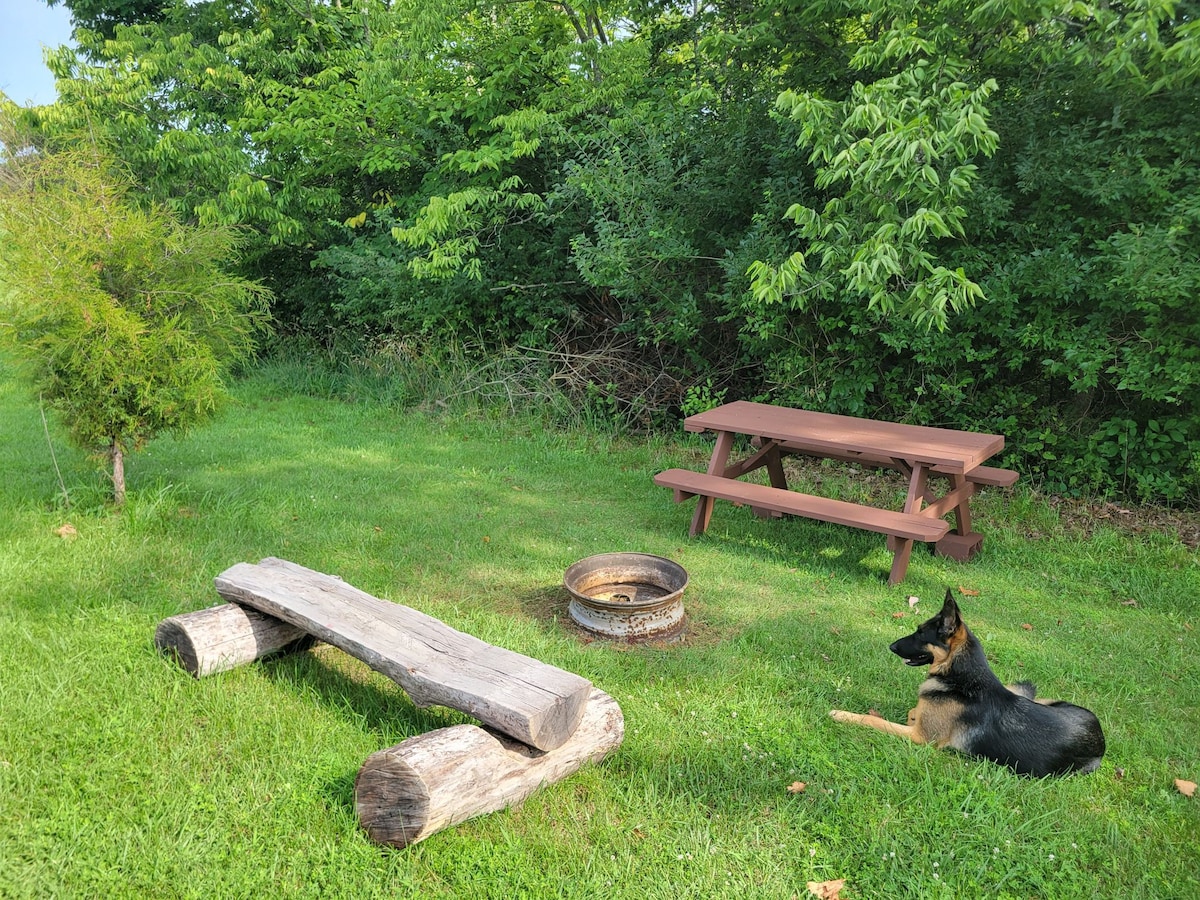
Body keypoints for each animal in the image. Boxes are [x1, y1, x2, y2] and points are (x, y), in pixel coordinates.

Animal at [830, 592, 1099, 777]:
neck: (961, 679)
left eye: (920, 633)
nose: (891, 646)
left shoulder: (920, 738)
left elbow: (875, 720)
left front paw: (842, 714)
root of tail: (1100, 736)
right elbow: (913, 710)